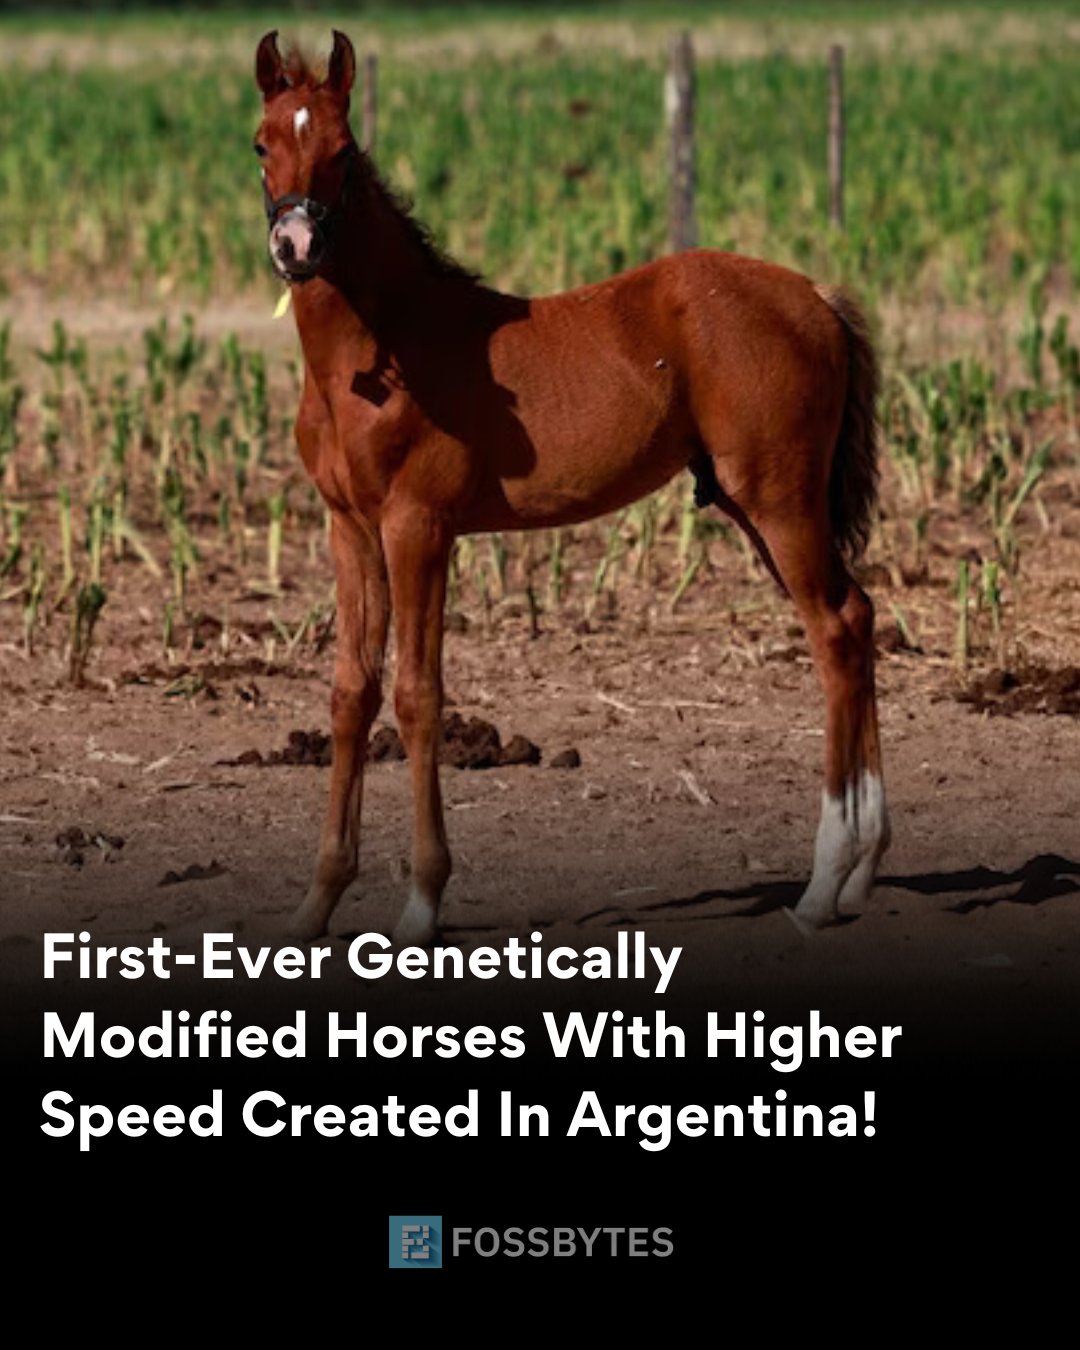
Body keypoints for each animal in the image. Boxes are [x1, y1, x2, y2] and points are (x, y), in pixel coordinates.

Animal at [253, 29, 890, 946]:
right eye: (261, 144)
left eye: (343, 150)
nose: (297, 246)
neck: (382, 356)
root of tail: (816, 294)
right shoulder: (350, 528)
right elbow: (351, 693)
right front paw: (318, 900)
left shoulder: (419, 527)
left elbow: (416, 695)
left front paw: (421, 904)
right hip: (758, 505)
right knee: (858, 617)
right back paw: (861, 871)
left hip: (779, 498)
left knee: (836, 630)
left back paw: (823, 881)